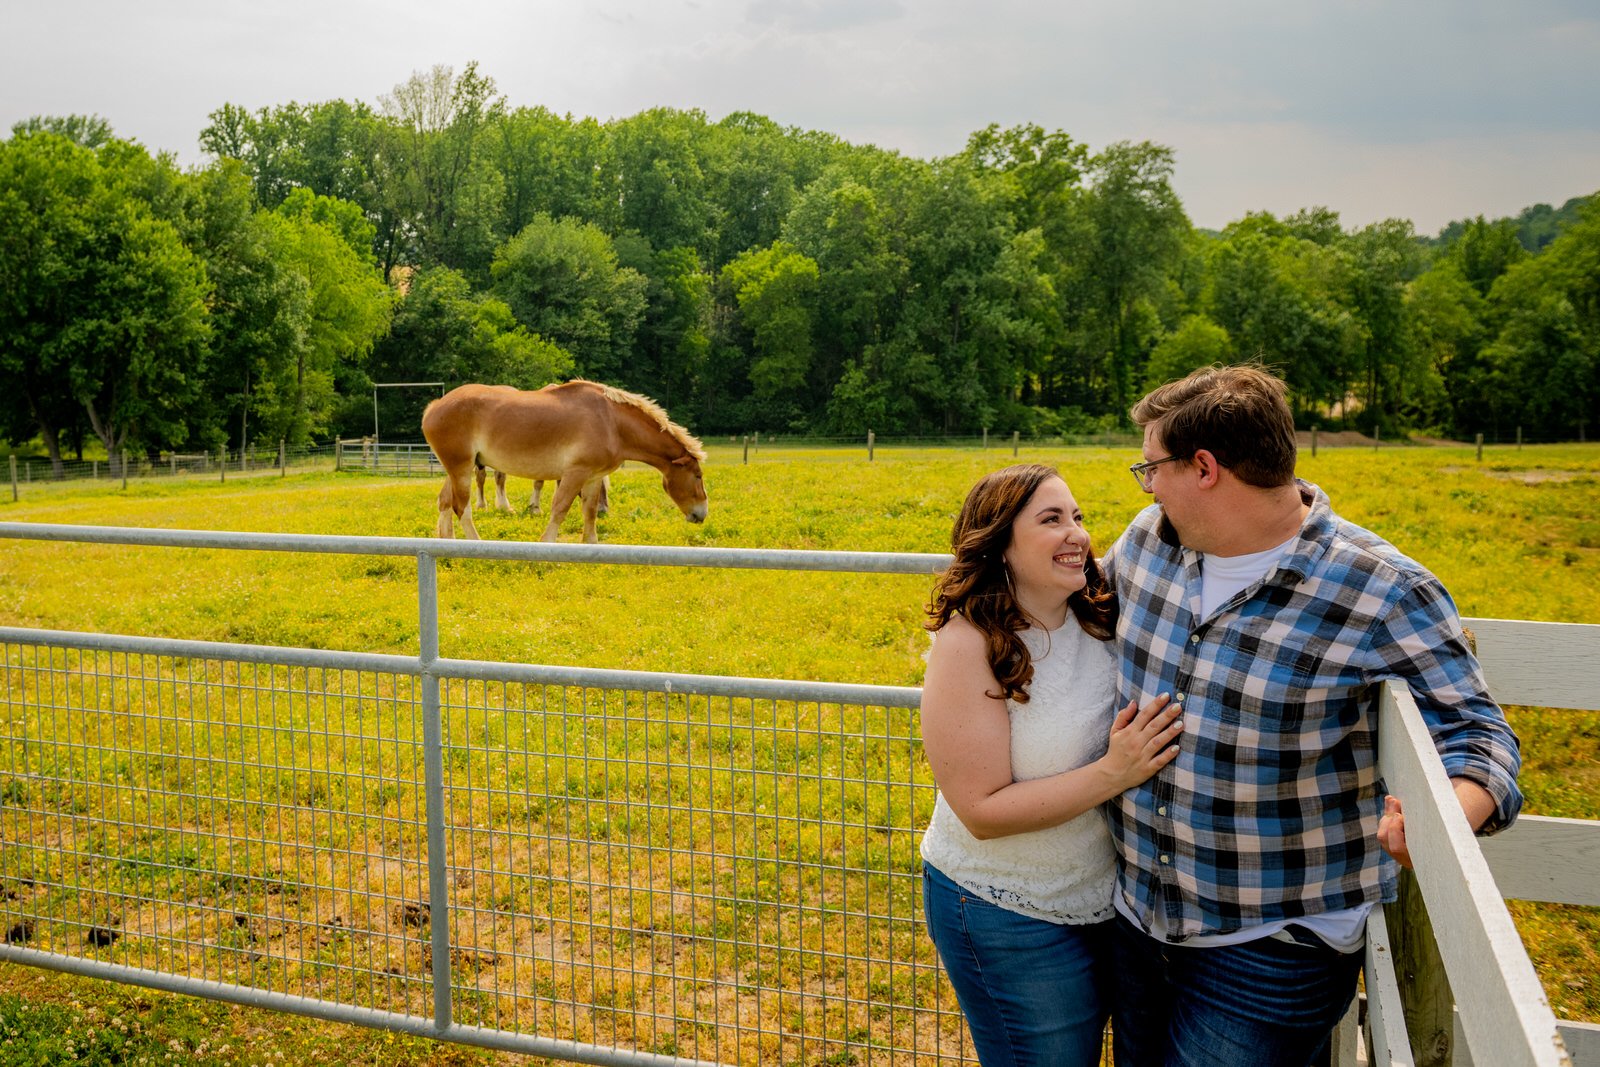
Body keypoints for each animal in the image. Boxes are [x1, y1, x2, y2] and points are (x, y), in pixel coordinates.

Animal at [425, 379, 707, 537]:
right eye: (697, 476)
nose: (702, 514)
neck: (611, 422)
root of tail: (434, 406)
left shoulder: (593, 477)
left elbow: (590, 514)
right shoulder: (574, 474)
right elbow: (559, 510)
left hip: (456, 469)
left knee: (444, 503)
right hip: (462, 468)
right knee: (461, 508)